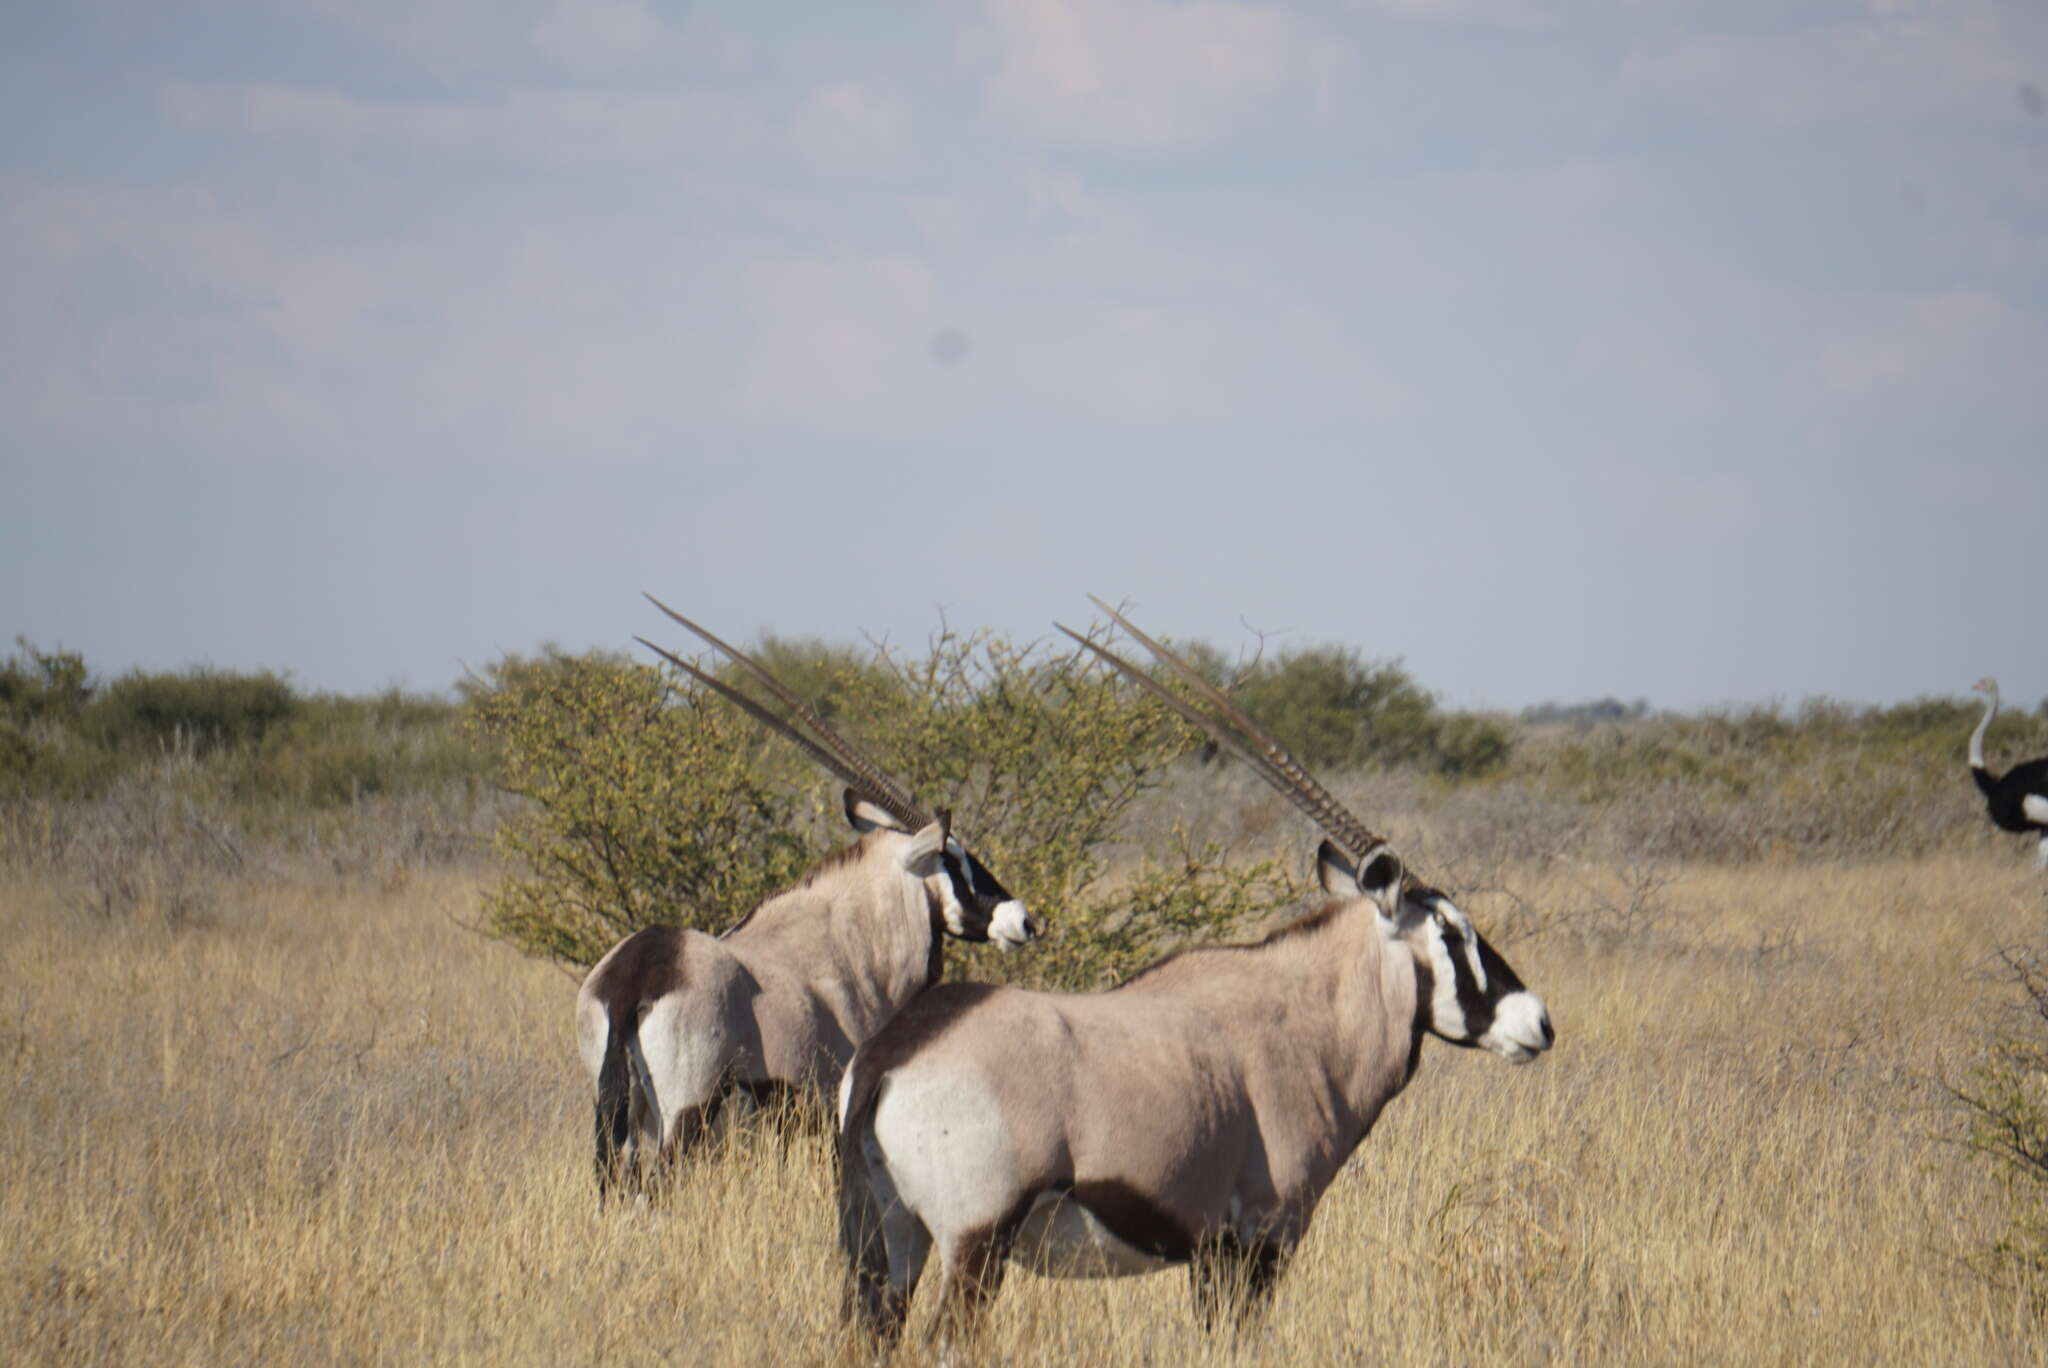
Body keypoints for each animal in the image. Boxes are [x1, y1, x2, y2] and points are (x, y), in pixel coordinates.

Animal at [577, 602, 1040, 1204]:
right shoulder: (830, 1100)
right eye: (954, 857)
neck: (849, 941)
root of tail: (634, 978)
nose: (1023, 919)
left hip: (623, 1111)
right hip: (685, 1113)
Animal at [831, 602, 1548, 1343]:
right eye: (1451, 930)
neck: (1305, 1019)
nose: (1538, 1022)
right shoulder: (1259, 1239)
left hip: (891, 1244)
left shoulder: (1211, 1252)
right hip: (975, 1245)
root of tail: (892, 1054)